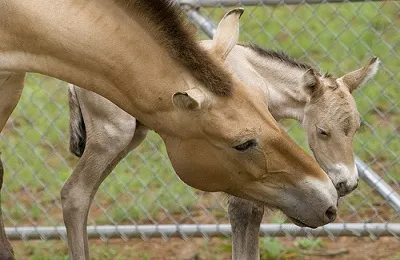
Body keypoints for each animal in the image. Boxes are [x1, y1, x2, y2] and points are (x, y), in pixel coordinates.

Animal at [0, 2, 338, 260]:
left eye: (267, 108)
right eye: (242, 144)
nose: (328, 198)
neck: (22, 20)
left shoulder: (10, 88)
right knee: (76, 194)